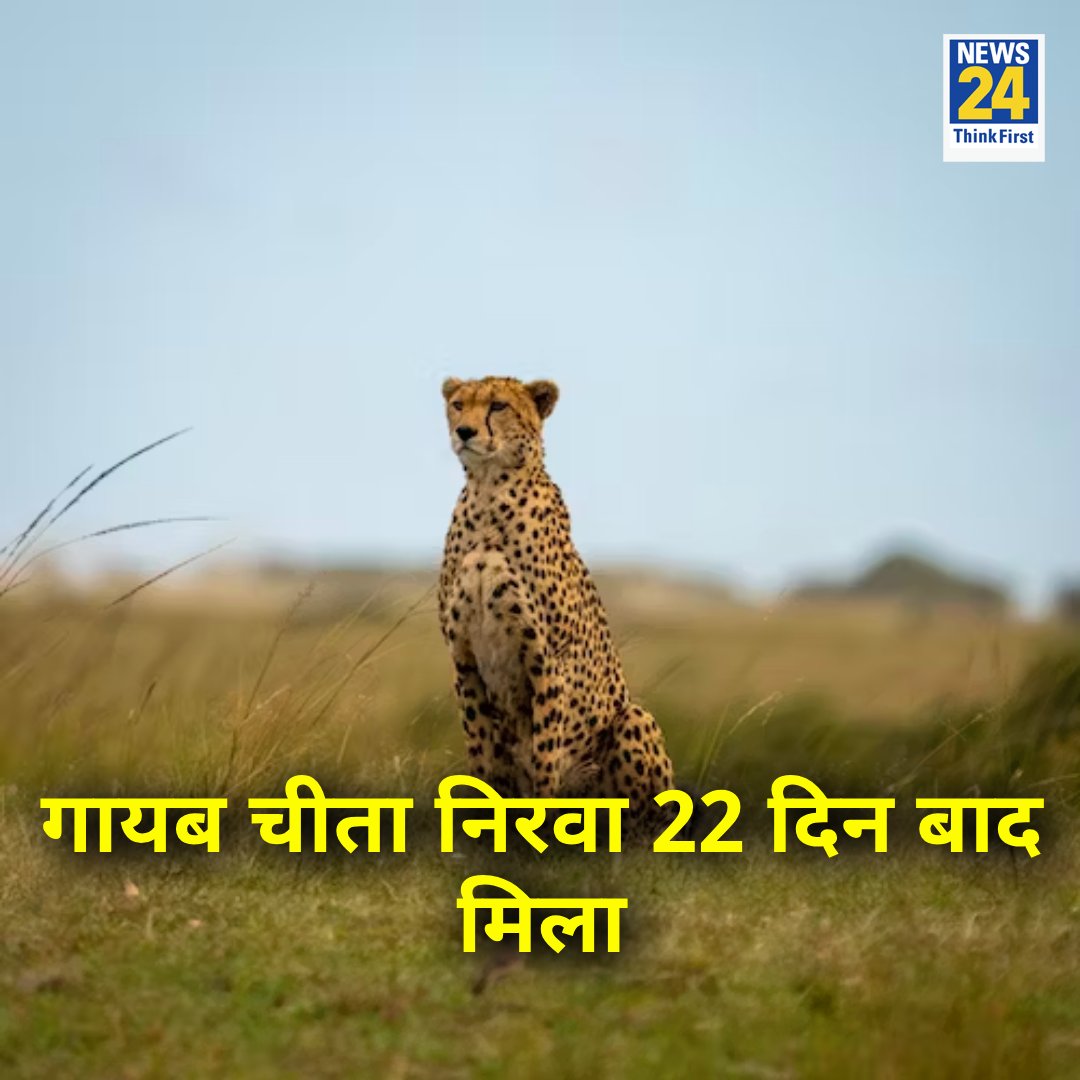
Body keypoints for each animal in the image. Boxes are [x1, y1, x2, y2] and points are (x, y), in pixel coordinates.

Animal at [437, 375, 675, 827]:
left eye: (497, 406)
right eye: (458, 405)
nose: (465, 432)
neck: (487, 492)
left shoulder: (547, 657)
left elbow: (545, 751)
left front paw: (540, 830)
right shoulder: (463, 657)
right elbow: (480, 754)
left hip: (633, 720)